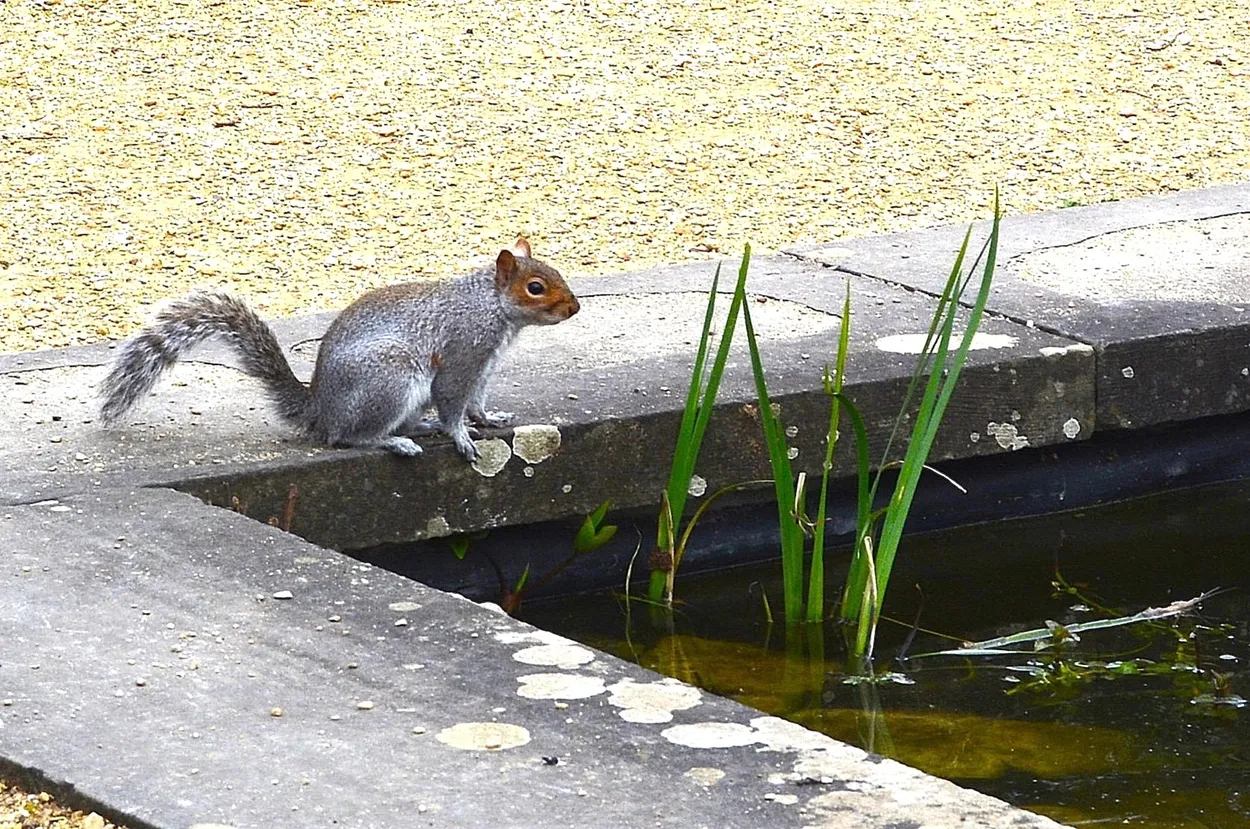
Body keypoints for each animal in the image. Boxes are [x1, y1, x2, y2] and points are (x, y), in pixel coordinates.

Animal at [98, 237, 580, 461]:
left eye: (557, 271)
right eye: (536, 287)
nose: (574, 308)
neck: (493, 308)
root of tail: (319, 410)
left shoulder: (484, 366)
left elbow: (476, 402)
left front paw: (489, 418)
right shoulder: (463, 354)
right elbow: (452, 402)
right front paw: (460, 436)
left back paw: (416, 428)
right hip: (391, 377)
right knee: (348, 437)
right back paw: (394, 441)